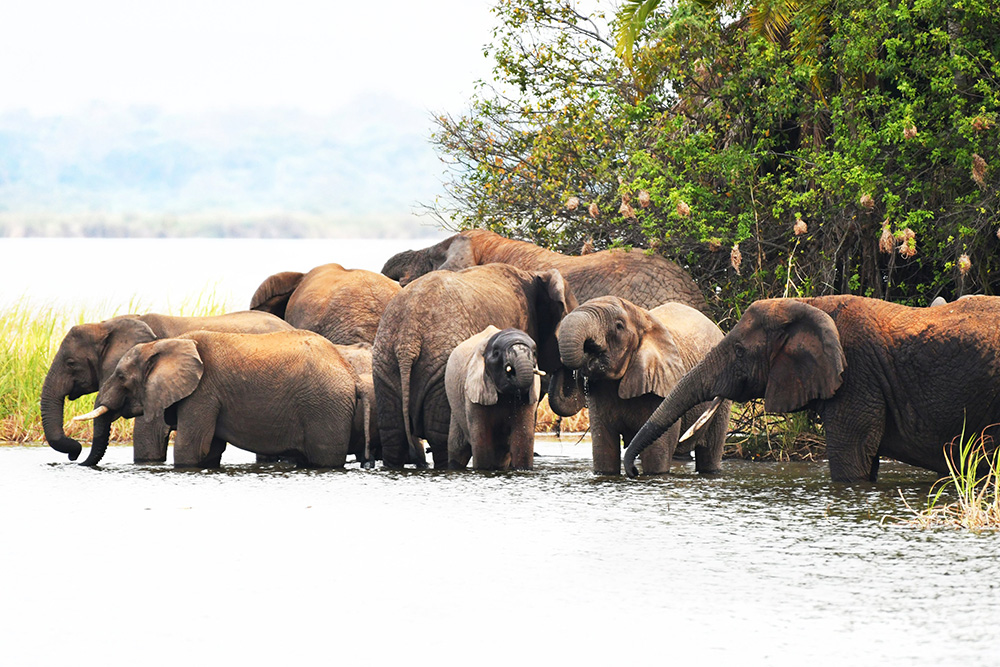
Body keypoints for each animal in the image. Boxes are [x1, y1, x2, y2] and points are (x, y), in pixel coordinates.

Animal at [72, 330, 369, 468]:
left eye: (121, 376)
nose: (75, 456)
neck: (168, 343)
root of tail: (350, 373)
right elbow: (210, 449)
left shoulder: (203, 392)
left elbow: (191, 447)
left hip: (325, 408)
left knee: (324, 458)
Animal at [445, 326, 542, 470]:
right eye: (496, 353)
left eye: (535, 353)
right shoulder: (474, 393)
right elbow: (482, 442)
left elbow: (523, 440)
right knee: (457, 449)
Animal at [551, 297, 730, 476]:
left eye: (619, 326)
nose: (588, 348)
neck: (643, 317)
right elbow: (604, 451)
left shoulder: (662, 386)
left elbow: (655, 455)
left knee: (711, 452)